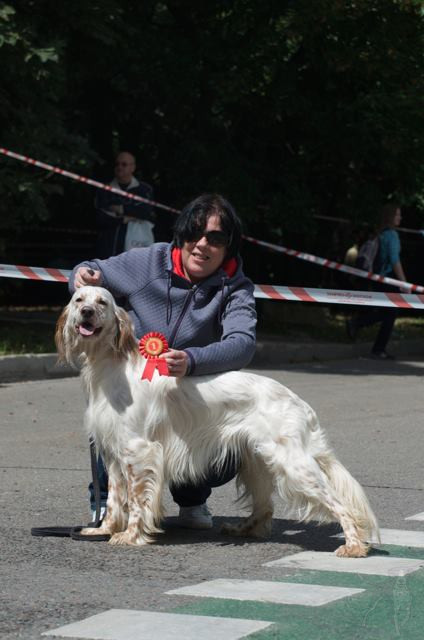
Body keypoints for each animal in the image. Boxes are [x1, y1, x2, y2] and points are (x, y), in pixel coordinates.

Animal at [55, 284, 378, 556]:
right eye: (79, 300)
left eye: (102, 302)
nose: (87, 312)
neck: (111, 366)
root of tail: (299, 402)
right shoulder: (113, 454)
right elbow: (113, 499)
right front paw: (103, 529)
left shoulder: (139, 451)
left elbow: (136, 501)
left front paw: (130, 536)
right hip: (256, 462)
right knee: (265, 507)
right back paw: (242, 529)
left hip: (293, 465)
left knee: (340, 504)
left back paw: (353, 546)